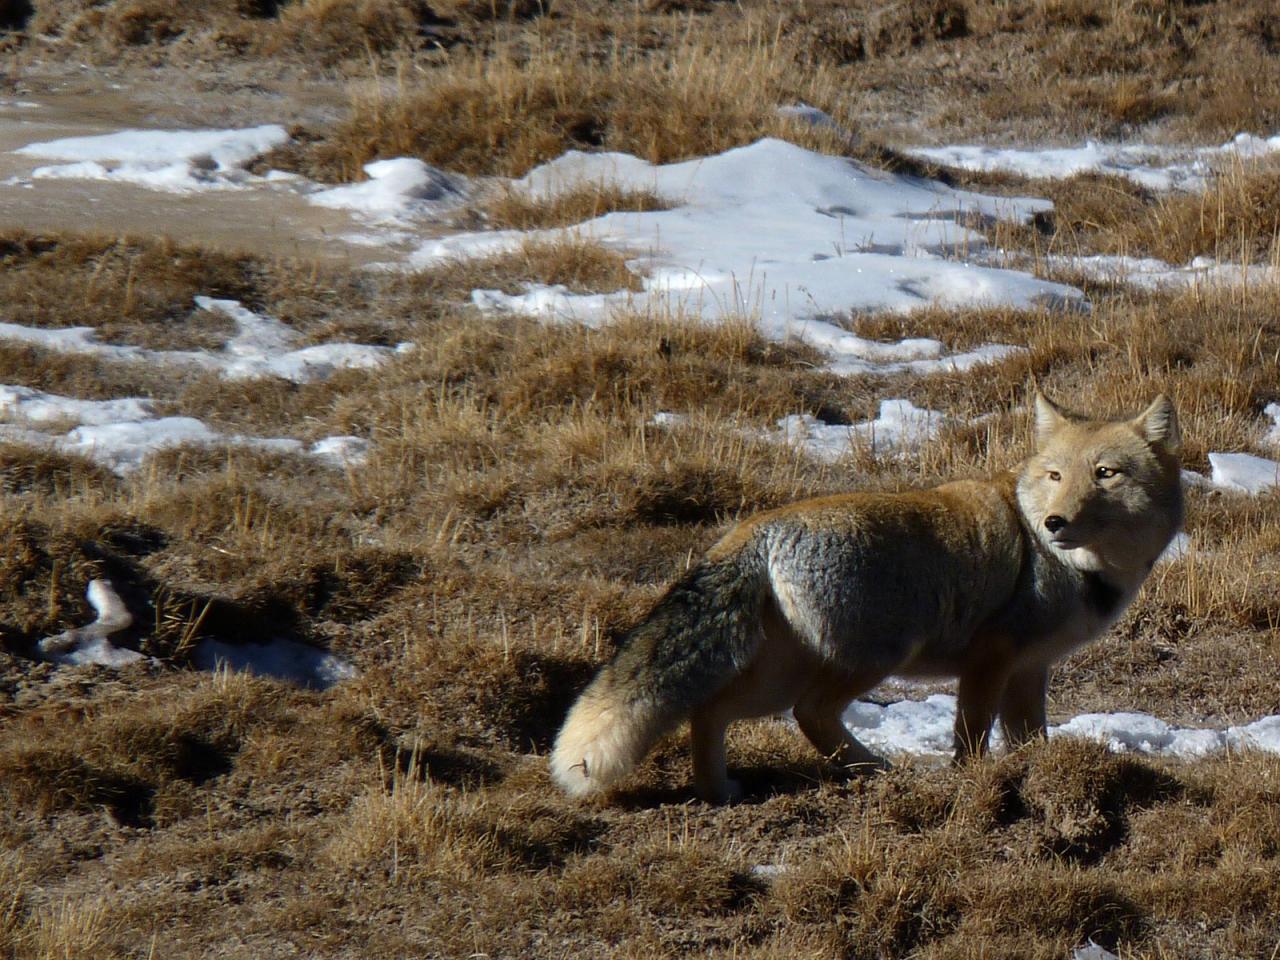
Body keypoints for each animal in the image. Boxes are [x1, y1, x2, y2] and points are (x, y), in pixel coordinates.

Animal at [545, 391, 1182, 803]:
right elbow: (972, 737)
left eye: (1105, 473)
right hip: (872, 659)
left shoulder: (1030, 669)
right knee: (808, 714)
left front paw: (1036, 772)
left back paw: (719, 789)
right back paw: (874, 768)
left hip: (783, 675)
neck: (1076, 568)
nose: (1053, 523)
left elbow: (1030, 739)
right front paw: (974, 781)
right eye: (1054, 476)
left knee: (711, 711)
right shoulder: (991, 660)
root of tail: (754, 529)